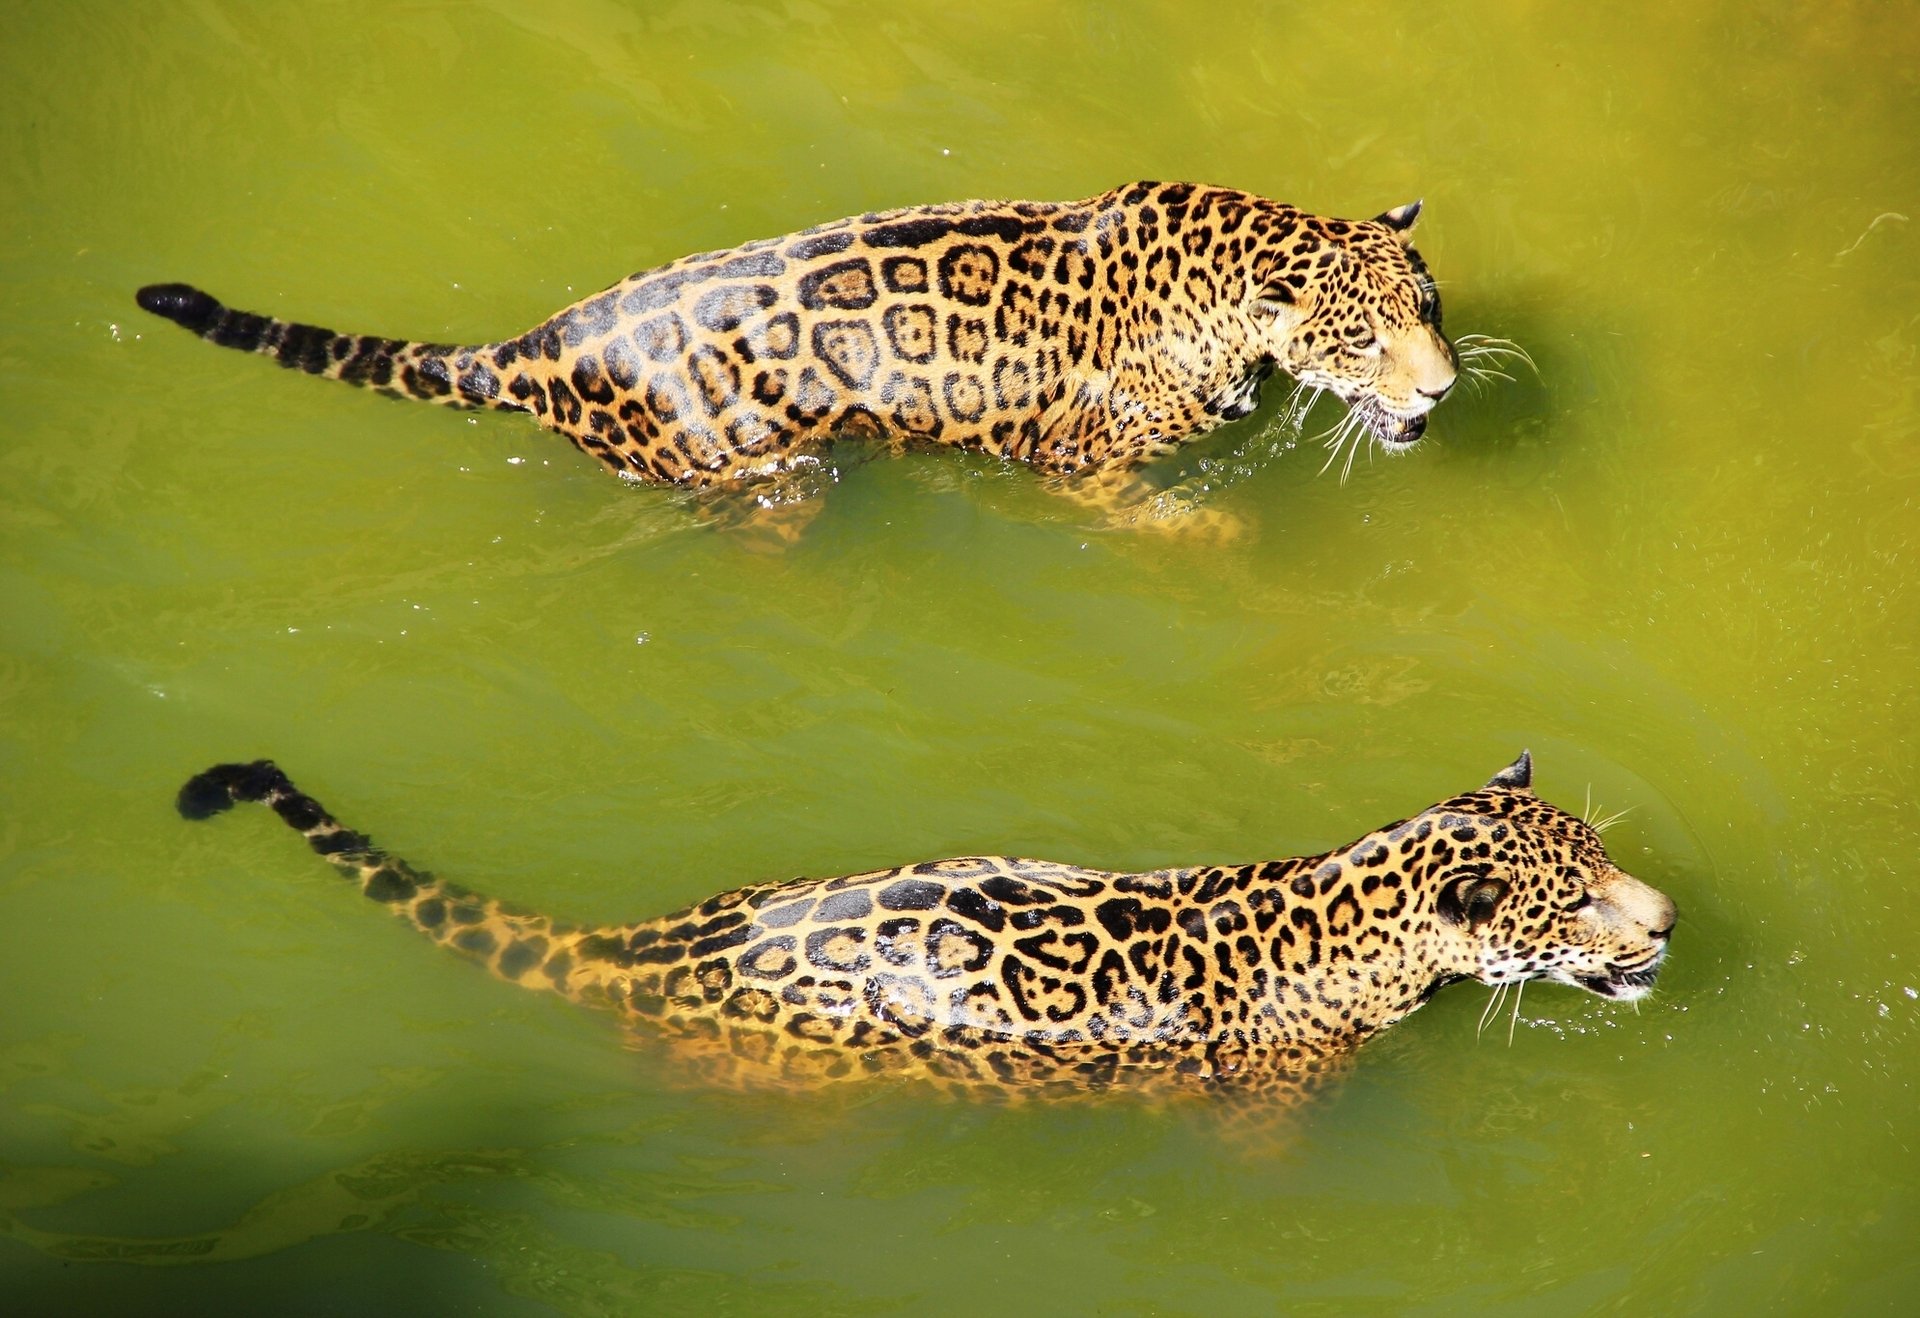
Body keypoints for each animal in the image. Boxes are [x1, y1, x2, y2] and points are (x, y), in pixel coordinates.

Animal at [136, 181, 1458, 535]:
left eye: (1431, 308)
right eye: (1366, 336)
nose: (1445, 384)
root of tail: (536, 348)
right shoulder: (1076, 465)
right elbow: (1155, 518)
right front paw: (1222, 535)